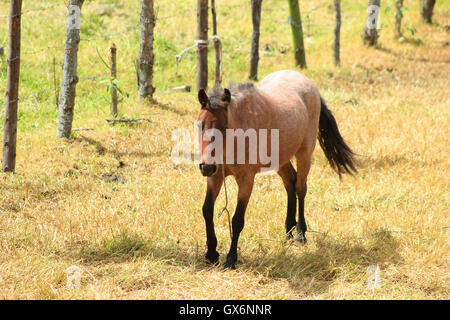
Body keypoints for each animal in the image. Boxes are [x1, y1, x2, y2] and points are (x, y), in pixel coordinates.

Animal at [196, 69, 356, 268]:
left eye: (224, 127)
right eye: (200, 125)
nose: (206, 167)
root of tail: (308, 83)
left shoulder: (246, 180)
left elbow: (237, 219)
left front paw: (231, 258)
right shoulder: (215, 176)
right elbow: (207, 210)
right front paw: (211, 253)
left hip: (304, 154)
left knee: (300, 188)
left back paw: (300, 234)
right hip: (280, 160)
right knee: (290, 183)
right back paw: (288, 230)